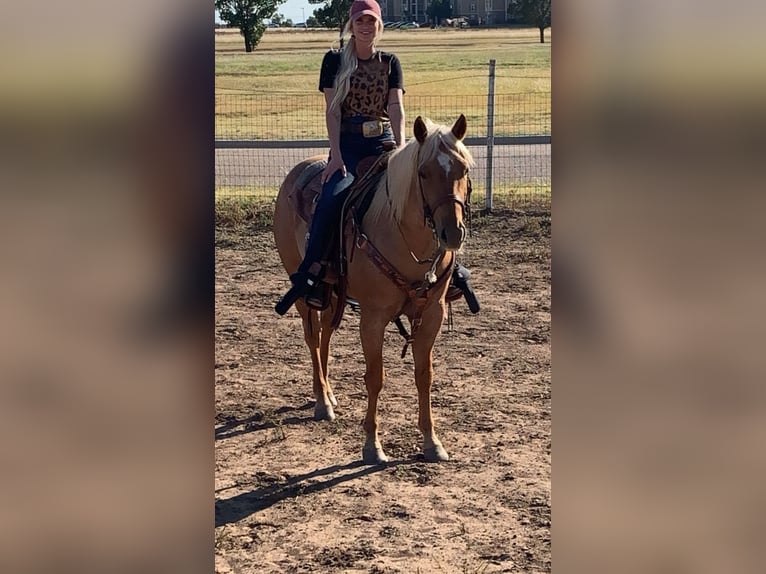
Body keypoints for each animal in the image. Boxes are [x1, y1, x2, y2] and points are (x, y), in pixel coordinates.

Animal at [270, 115, 474, 466]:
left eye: (462, 169)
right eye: (423, 172)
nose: (452, 233)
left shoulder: (432, 314)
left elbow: (425, 376)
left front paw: (432, 442)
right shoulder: (373, 317)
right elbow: (375, 377)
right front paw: (372, 446)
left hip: (332, 294)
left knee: (325, 334)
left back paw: (329, 394)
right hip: (304, 295)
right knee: (313, 338)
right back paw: (321, 401)